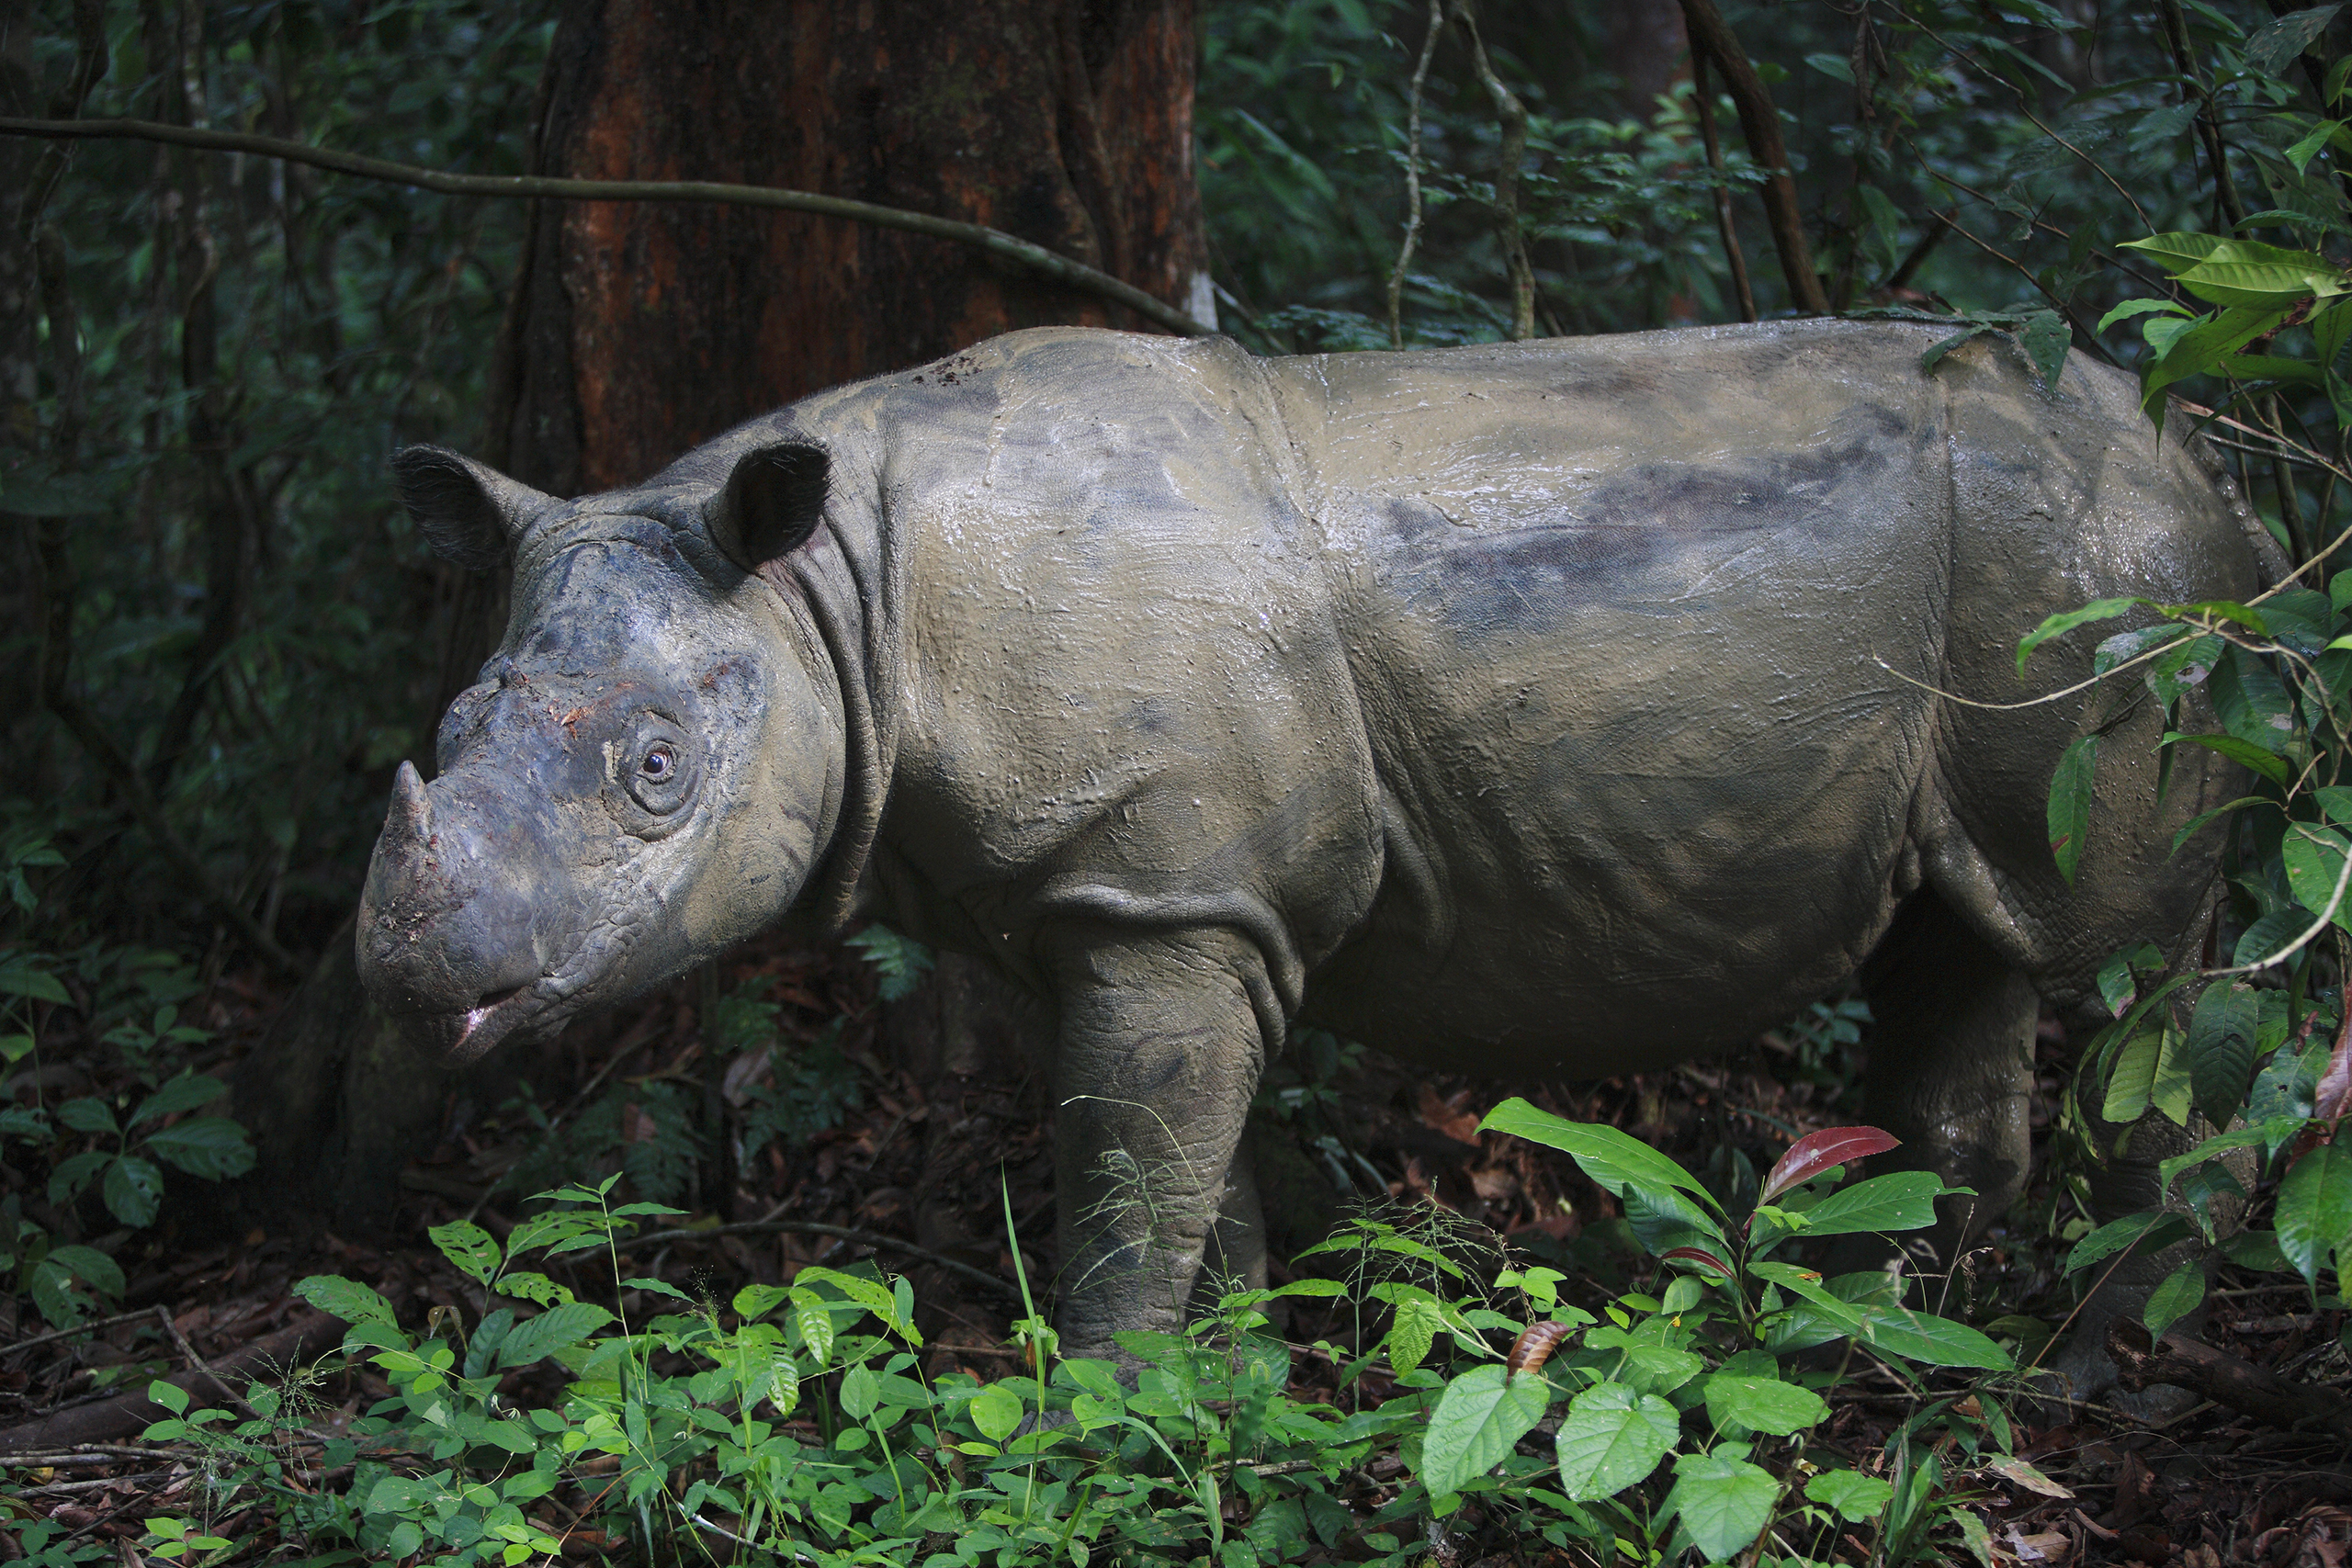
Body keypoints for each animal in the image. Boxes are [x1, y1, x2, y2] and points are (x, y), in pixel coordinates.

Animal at [358, 320, 2271, 1394]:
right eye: (444, 730)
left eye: (657, 773)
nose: (405, 972)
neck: (841, 601)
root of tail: (2209, 471)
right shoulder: (1134, 897)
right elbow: (1196, 1173)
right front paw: (1233, 1392)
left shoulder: (1160, 891)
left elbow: (1129, 1170)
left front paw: (1100, 1413)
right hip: (2048, 589)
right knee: (1969, 944)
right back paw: (1875, 1331)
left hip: (2115, 589)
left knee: (2127, 973)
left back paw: (2079, 1372)